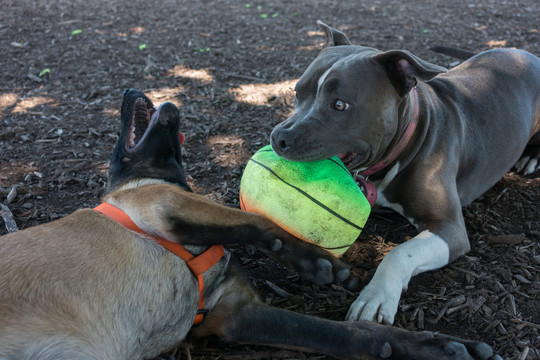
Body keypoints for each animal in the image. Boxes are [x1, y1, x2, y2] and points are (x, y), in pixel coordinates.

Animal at [0, 89, 500, 360]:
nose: (126, 92)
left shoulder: (236, 314)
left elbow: (355, 334)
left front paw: (432, 346)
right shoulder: (167, 207)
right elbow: (259, 222)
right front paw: (319, 265)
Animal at [272, 22, 536, 326]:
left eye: (340, 105)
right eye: (297, 92)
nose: (278, 137)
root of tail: (525, 54)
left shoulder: (449, 228)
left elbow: (399, 253)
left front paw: (375, 297)